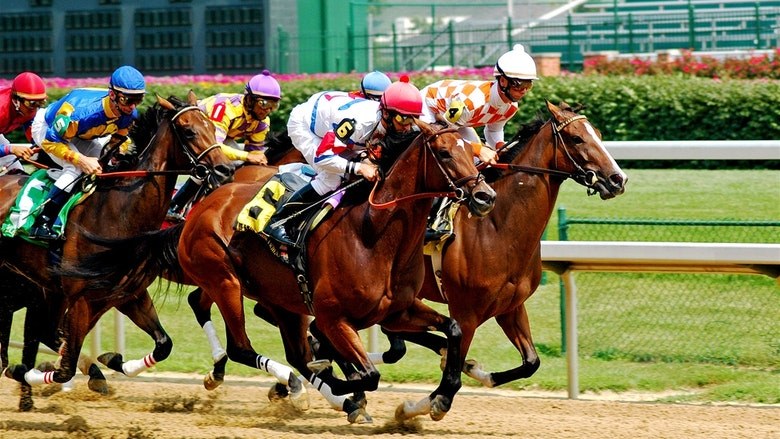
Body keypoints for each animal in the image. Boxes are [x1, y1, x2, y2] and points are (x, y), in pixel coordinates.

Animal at [0, 92, 234, 405]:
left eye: (210, 125)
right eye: (188, 131)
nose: (225, 169)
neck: (117, 212)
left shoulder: (128, 294)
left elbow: (164, 344)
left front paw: (112, 360)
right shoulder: (81, 299)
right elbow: (63, 367)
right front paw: (23, 371)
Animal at [68, 120, 497, 423]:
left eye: (472, 148)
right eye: (444, 153)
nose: (485, 195)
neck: (374, 233)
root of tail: (199, 213)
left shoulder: (396, 311)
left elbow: (453, 329)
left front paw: (444, 393)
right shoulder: (332, 315)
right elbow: (365, 372)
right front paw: (341, 384)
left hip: (281, 298)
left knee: (289, 349)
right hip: (224, 280)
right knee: (244, 347)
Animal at [370, 101, 627, 388]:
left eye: (599, 135)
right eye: (577, 138)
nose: (618, 179)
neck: (497, 227)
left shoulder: (511, 307)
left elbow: (531, 362)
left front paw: (479, 372)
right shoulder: (466, 313)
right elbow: (452, 371)